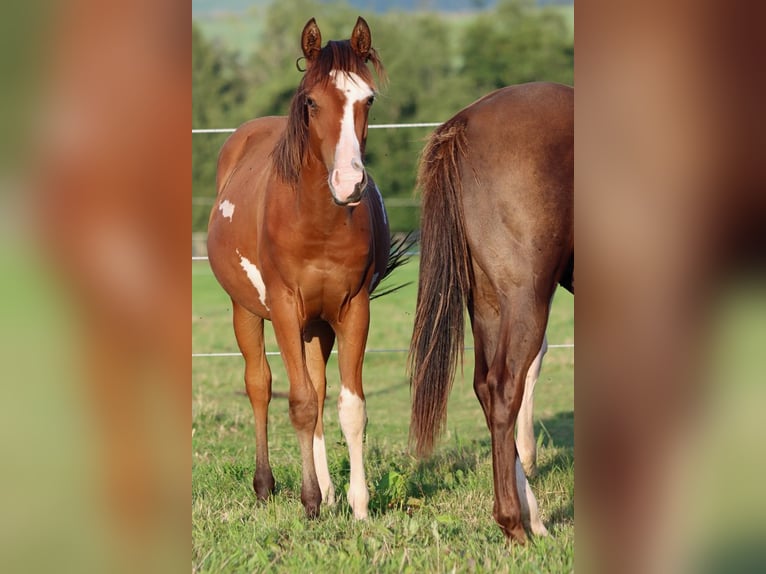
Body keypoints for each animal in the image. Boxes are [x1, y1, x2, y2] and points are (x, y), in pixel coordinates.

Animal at [207, 17, 395, 521]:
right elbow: (300, 402)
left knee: (321, 386)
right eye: (311, 102)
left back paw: (329, 491)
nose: (349, 183)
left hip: (318, 325)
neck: (316, 221)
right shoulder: (286, 309)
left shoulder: (353, 309)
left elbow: (349, 406)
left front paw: (357, 505)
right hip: (247, 311)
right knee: (260, 385)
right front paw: (309, 502)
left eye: (368, 99)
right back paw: (266, 484)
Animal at [409, 82, 574, 543]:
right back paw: (515, 523)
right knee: (503, 388)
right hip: (524, 298)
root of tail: (463, 124)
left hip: (487, 304)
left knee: (487, 388)